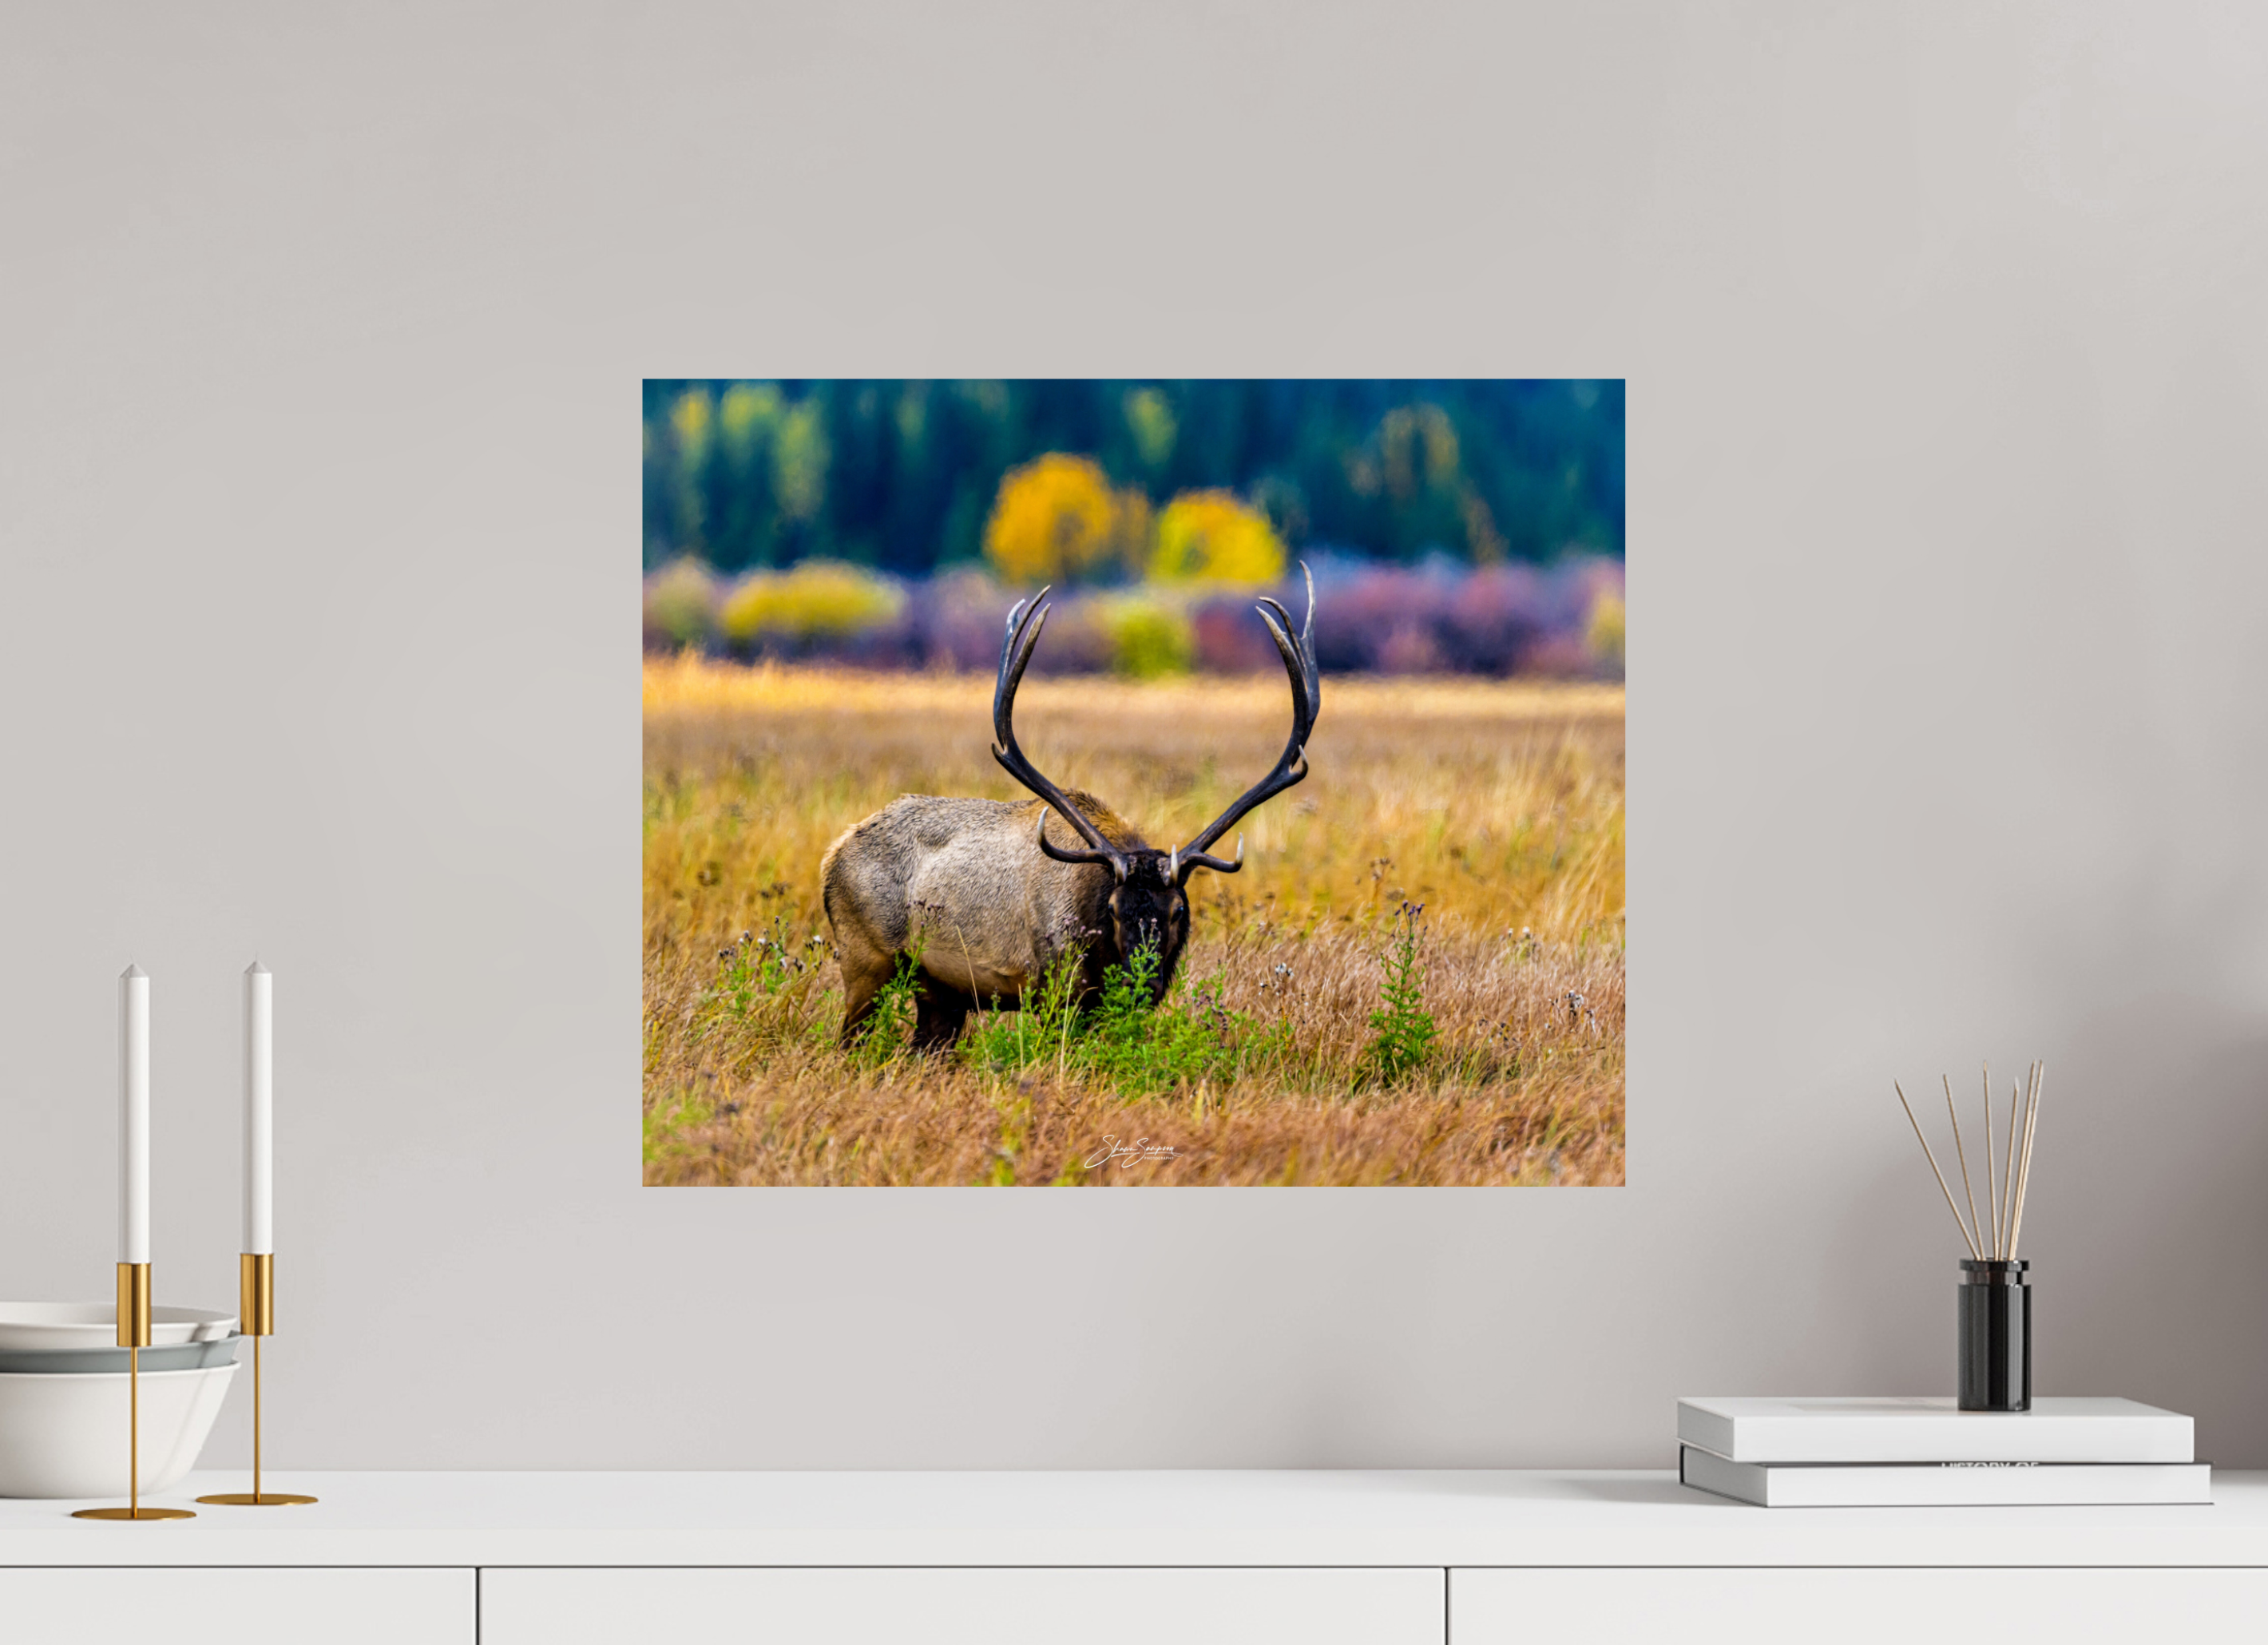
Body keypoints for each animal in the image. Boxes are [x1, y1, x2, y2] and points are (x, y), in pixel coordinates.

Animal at [820, 568, 1321, 1052]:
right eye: (1114, 909)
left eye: (1178, 910)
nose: (1142, 984)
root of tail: (831, 857)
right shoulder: (1054, 990)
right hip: (865, 959)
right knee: (846, 1041)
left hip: (939, 990)